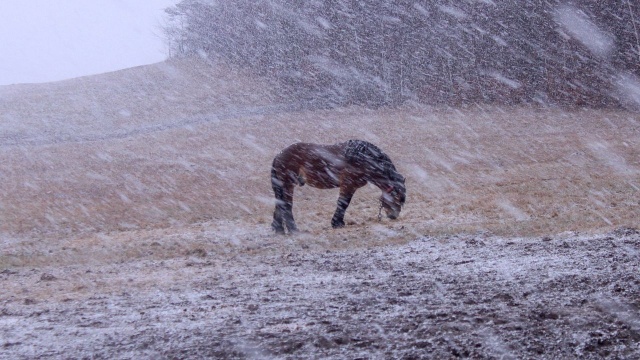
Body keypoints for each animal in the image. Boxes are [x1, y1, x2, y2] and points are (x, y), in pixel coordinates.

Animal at [268, 138, 404, 233]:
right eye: (397, 197)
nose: (394, 216)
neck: (362, 158)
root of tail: (279, 155)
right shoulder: (348, 185)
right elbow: (343, 203)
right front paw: (337, 223)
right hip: (288, 185)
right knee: (286, 205)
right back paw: (293, 230)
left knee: (279, 204)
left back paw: (279, 229)